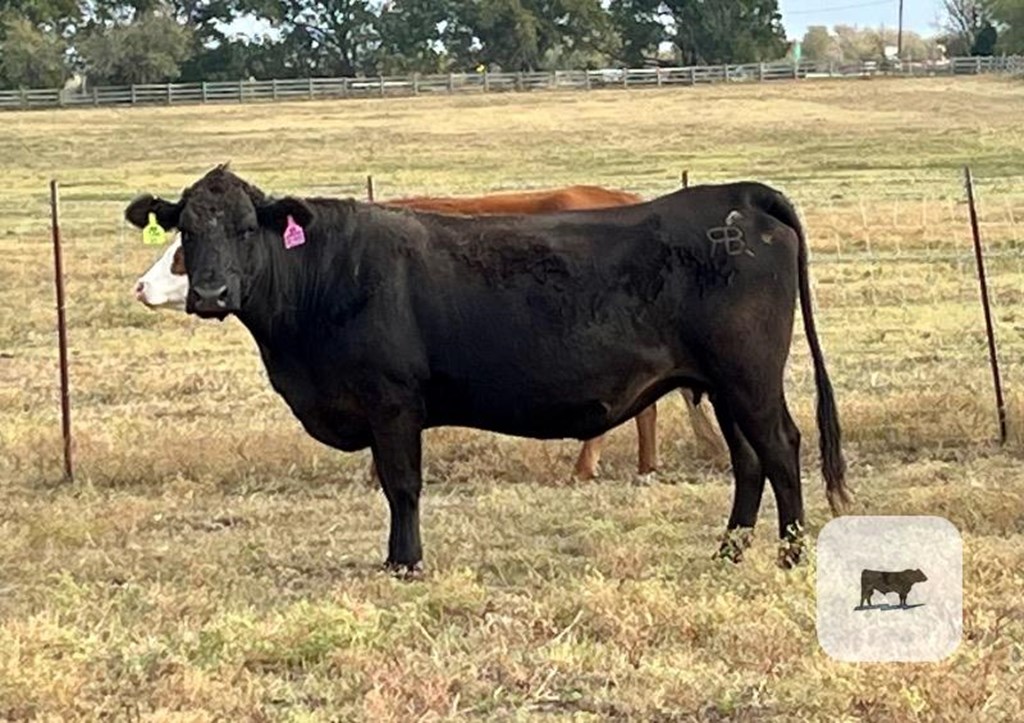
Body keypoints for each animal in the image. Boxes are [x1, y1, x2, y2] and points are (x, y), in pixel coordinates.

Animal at [125, 165, 847, 573]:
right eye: (186, 230)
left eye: (247, 228)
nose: (211, 293)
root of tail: (739, 197)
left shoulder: (392, 404)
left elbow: (402, 486)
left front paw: (405, 562)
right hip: (721, 385)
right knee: (748, 461)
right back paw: (728, 552)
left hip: (749, 378)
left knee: (781, 448)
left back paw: (788, 555)